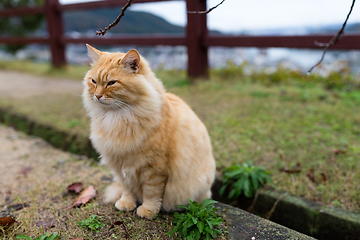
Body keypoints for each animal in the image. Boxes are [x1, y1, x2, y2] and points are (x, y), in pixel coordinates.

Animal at [83, 44, 215, 219]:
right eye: (93, 81)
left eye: (111, 83)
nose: (97, 96)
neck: (118, 117)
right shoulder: (121, 166)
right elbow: (127, 190)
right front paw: (126, 204)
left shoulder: (154, 170)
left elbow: (151, 194)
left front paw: (148, 211)